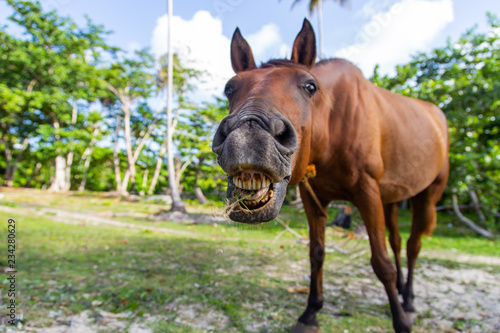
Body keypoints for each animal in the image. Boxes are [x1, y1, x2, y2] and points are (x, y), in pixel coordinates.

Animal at [211, 18, 450, 332]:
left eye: (309, 86)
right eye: (229, 89)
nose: (248, 137)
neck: (333, 126)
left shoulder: (367, 192)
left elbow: (381, 263)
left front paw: (400, 321)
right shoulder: (314, 199)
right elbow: (317, 254)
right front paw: (311, 312)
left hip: (427, 195)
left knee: (412, 246)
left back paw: (408, 301)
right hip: (392, 199)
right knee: (398, 242)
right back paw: (401, 290)